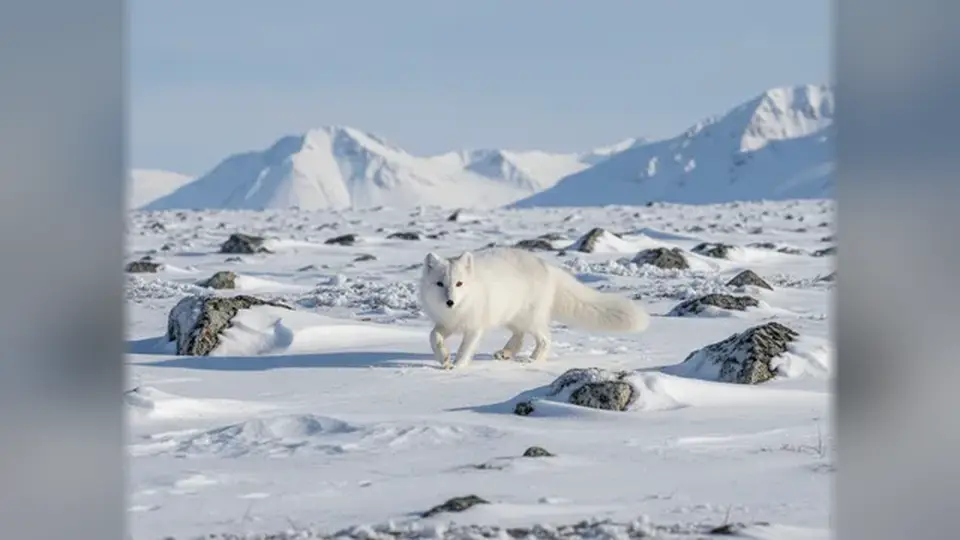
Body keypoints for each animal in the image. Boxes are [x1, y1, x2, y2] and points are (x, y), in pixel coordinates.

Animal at [418, 247, 650, 369]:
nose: (450, 302)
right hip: (513, 317)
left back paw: (532, 360)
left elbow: (466, 348)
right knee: (520, 337)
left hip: (530, 319)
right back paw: (506, 353)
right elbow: (433, 336)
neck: (458, 311)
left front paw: (458, 366)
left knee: (545, 339)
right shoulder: (446, 323)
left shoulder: (475, 327)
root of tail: (547, 267)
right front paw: (444, 358)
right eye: (440, 284)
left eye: (459, 284)